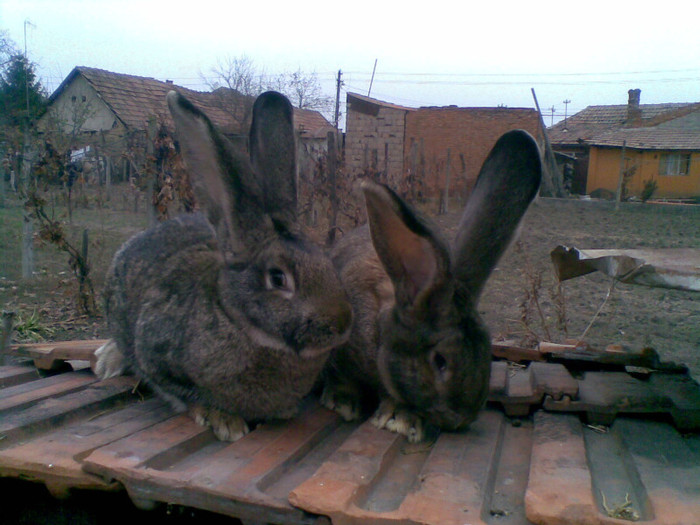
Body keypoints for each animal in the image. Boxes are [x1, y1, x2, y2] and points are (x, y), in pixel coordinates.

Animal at [95, 92, 352, 440]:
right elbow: (183, 392)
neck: (234, 318)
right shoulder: (156, 356)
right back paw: (107, 361)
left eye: (325, 260)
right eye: (278, 278)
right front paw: (224, 421)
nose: (342, 323)